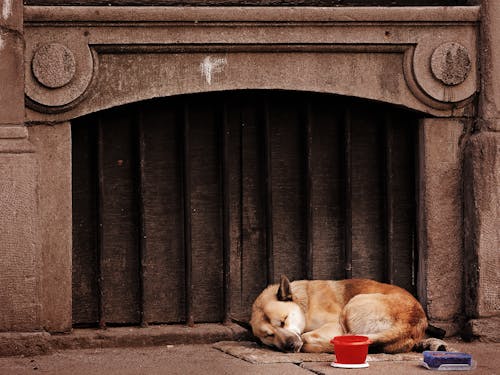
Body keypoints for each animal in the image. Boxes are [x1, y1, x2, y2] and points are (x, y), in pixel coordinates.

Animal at [248, 274, 448, 354]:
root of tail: (410, 322)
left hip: (352, 305)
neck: (304, 304)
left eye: (284, 320)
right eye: (269, 335)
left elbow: (308, 337)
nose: (289, 346)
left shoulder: (335, 325)